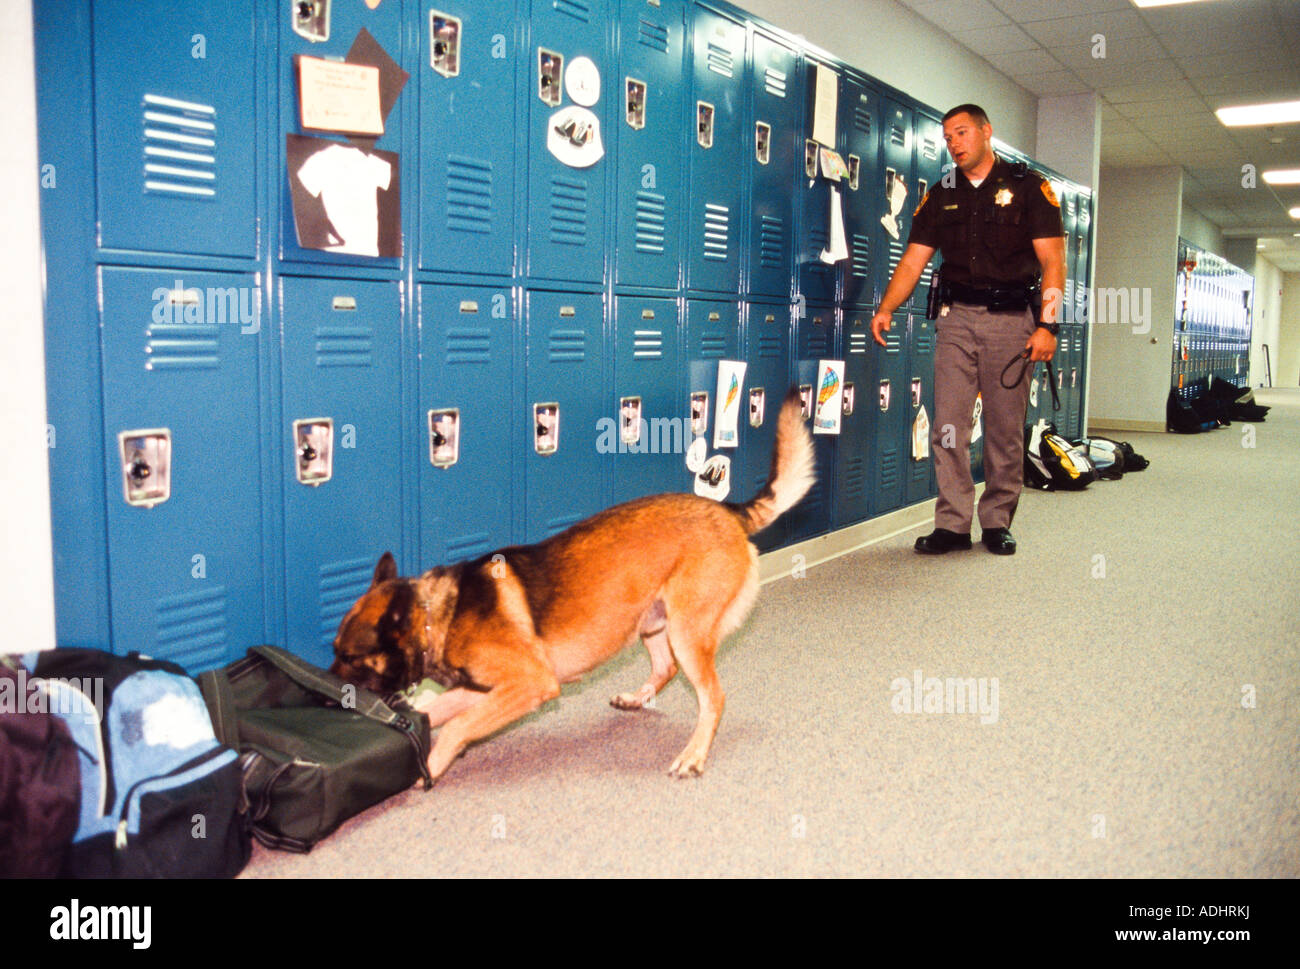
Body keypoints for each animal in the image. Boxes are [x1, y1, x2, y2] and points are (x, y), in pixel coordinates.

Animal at [327, 384, 811, 780]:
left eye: (350, 657)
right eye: (333, 652)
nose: (329, 697)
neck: (435, 615)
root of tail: (728, 510)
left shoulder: (530, 684)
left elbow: (458, 725)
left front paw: (432, 762)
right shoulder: (484, 689)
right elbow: (442, 711)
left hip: (686, 632)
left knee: (714, 697)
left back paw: (693, 755)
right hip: (654, 623)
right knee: (665, 667)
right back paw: (637, 699)